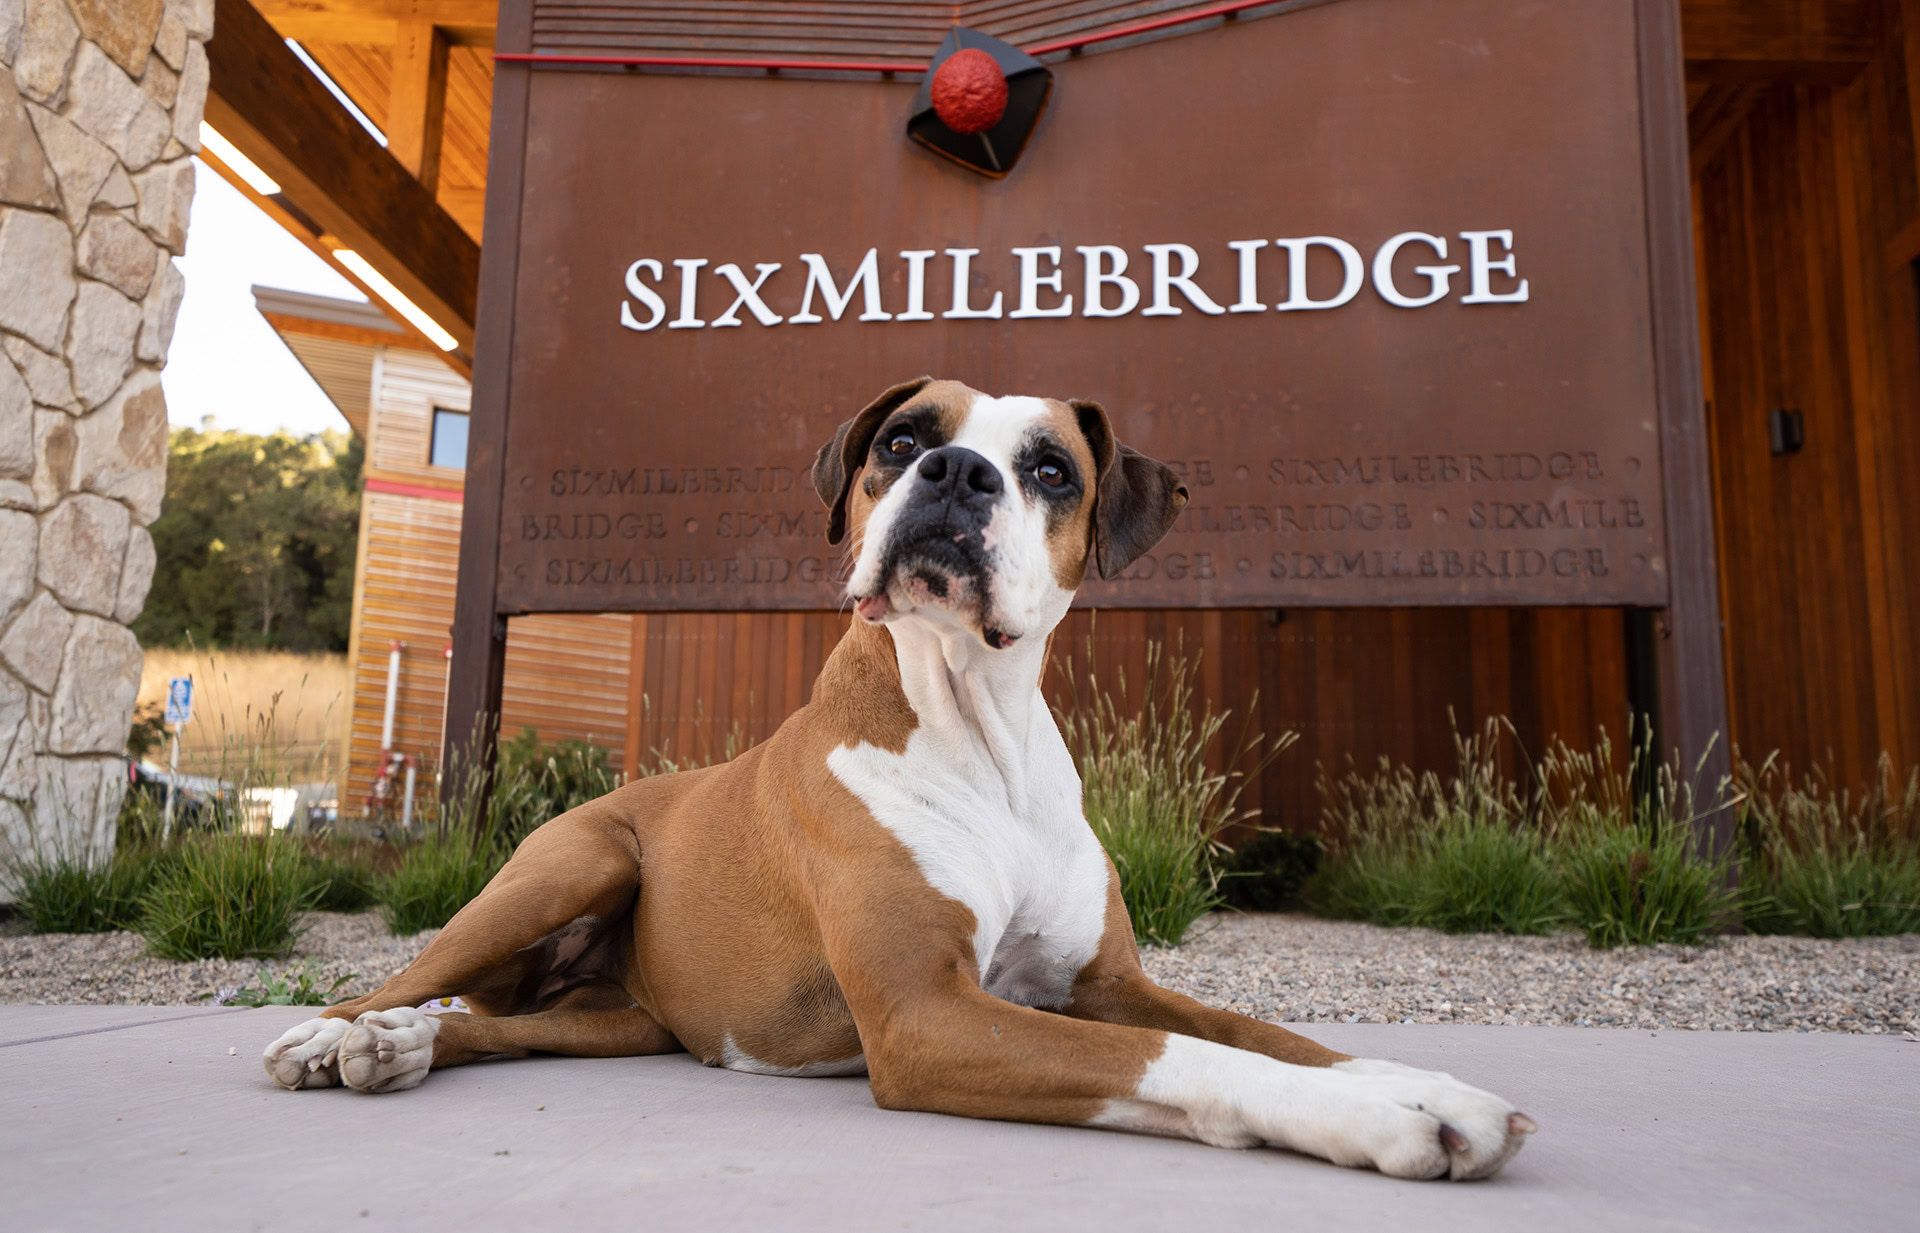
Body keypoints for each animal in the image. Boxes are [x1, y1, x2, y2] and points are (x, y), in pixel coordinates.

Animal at [263, 376, 1536, 1183]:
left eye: (1050, 469)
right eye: (900, 438)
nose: (954, 469)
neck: (981, 727)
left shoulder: (1106, 987)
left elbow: (1259, 1031)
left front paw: (1422, 1084)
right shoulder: (931, 1016)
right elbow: (1194, 1059)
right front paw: (1380, 1118)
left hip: (622, 1025)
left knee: (495, 1029)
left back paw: (401, 1050)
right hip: (565, 867)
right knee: (397, 982)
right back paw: (334, 1040)